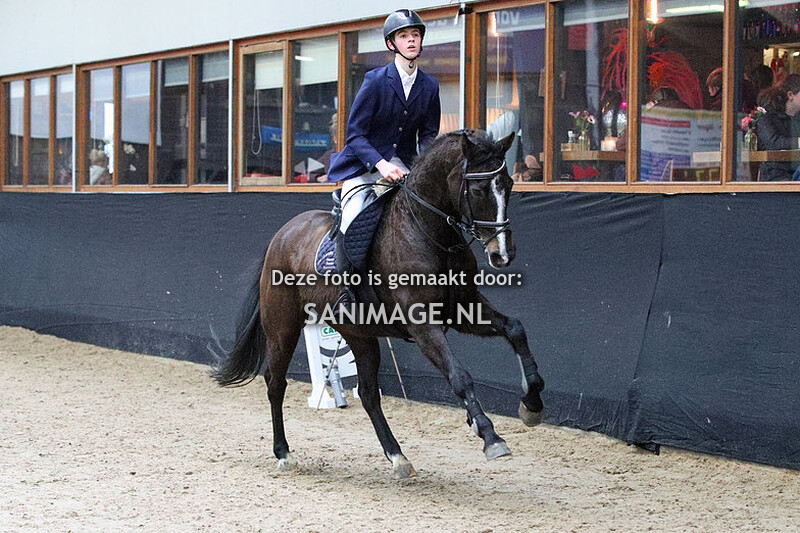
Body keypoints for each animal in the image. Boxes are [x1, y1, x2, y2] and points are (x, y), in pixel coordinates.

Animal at [211, 130, 545, 478]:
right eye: (479, 189)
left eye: (508, 184)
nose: (503, 254)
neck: (430, 233)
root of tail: (282, 234)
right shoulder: (423, 325)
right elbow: (459, 375)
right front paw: (490, 435)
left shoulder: (464, 309)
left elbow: (515, 329)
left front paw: (531, 404)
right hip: (283, 328)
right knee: (275, 383)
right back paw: (282, 452)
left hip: (360, 336)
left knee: (369, 395)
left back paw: (397, 456)